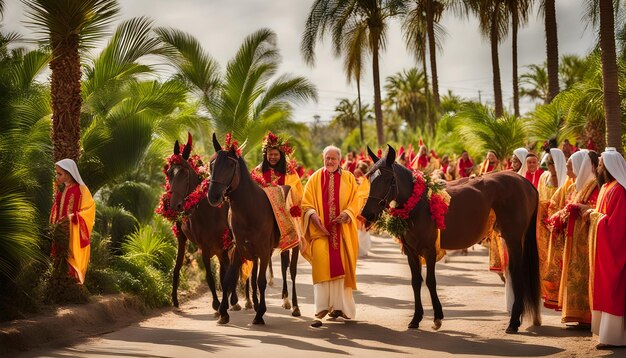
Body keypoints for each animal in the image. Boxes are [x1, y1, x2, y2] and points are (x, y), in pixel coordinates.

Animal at [167, 136, 247, 312]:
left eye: (184, 172)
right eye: (168, 173)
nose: (174, 205)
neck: (208, 210)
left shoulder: (223, 245)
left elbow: (225, 272)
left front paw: (222, 302)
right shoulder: (201, 245)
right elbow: (207, 275)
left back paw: (234, 299)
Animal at [207, 134, 300, 324]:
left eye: (230, 165)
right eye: (212, 164)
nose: (213, 196)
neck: (250, 210)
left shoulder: (264, 250)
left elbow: (262, 281)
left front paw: (260, 314)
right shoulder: (239, 248)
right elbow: (229, 279)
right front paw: (223, 312)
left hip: (294, 245)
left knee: (291, 271)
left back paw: (293, 305)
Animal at [358, 145, 540, 332]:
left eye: (389, 179)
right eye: (370, 178)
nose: (367, 214)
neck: (418, 204)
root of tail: (525, 182)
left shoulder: (429, 250)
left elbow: (430, 281)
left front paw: (437, 317)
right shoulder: (411, 251)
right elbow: (416, 281)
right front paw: (416, 318)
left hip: (513, 238)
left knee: (516, 273)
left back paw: (513, 321)